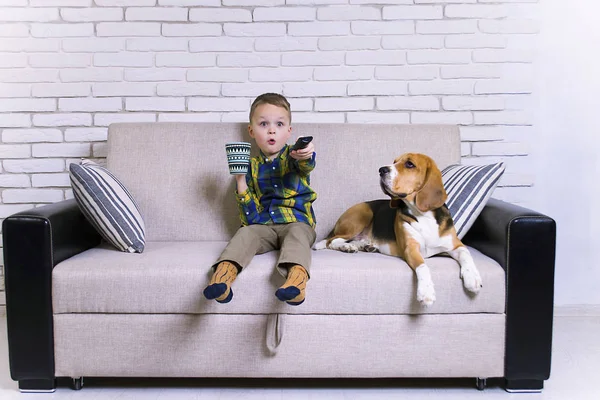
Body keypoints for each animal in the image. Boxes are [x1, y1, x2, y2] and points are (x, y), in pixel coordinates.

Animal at [314, 153, 482, 306]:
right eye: (394, 161)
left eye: (409, 164)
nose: (381, 170)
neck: (423, 215)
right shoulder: (411, 248)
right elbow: (423, 266)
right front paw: (426, 292)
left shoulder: (455, 245)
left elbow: (466, 254)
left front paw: (472, 278)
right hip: (362, 214)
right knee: (331, 241)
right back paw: (347, 246)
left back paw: (364, 245)